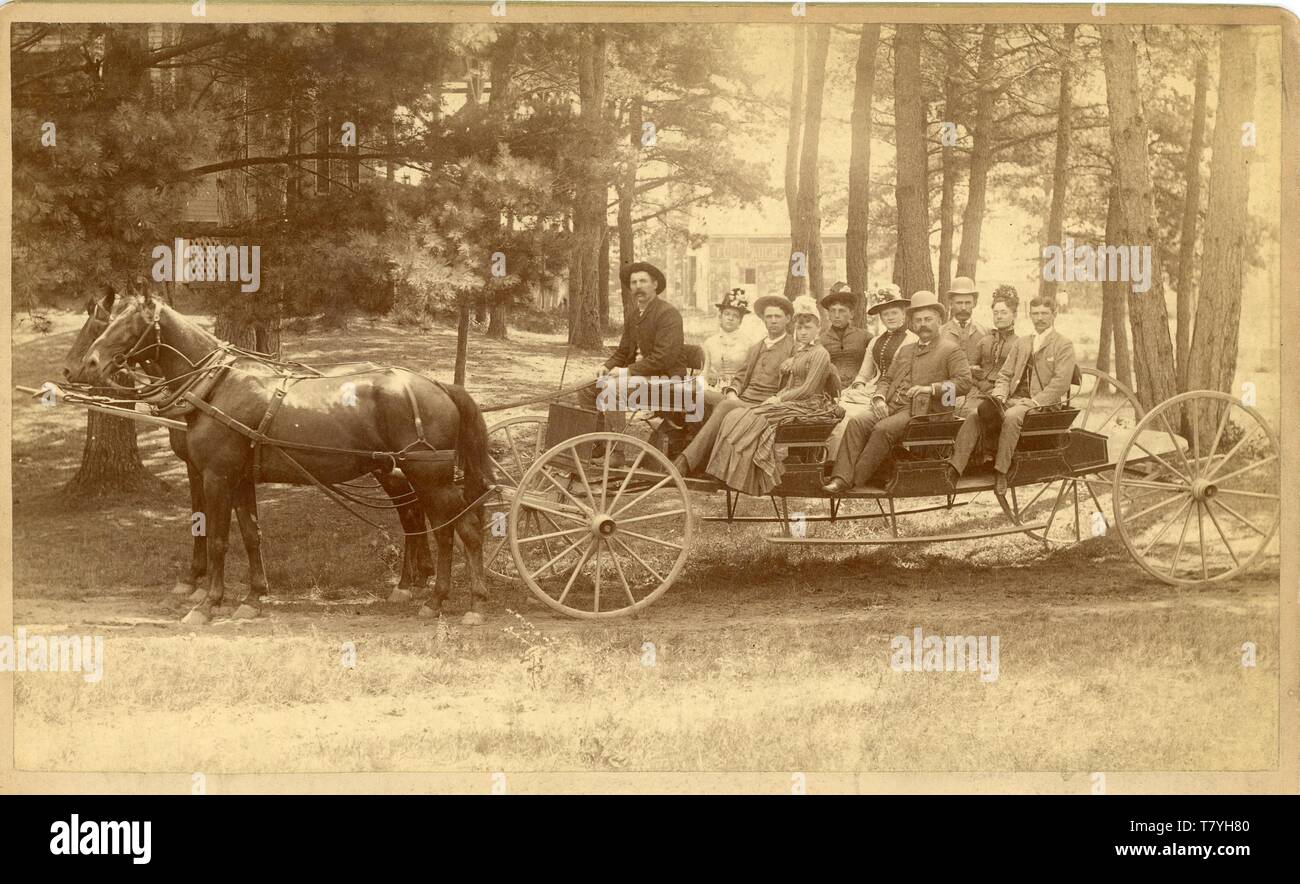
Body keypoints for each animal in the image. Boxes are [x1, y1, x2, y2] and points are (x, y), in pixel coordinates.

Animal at [73, 289, 493, 621]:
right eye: (108, 319)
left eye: (128, 322)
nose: (87, 365)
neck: (215, 385)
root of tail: (438, 384)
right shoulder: (240, 478)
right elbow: (250, 535)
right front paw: (254, 597)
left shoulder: (215, 476)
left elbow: (218, 538)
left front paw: (208, 603)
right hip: (412, 475)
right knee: (438, 527)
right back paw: (432, 595)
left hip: (428, 476)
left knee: (462, 530)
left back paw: (466, 601)